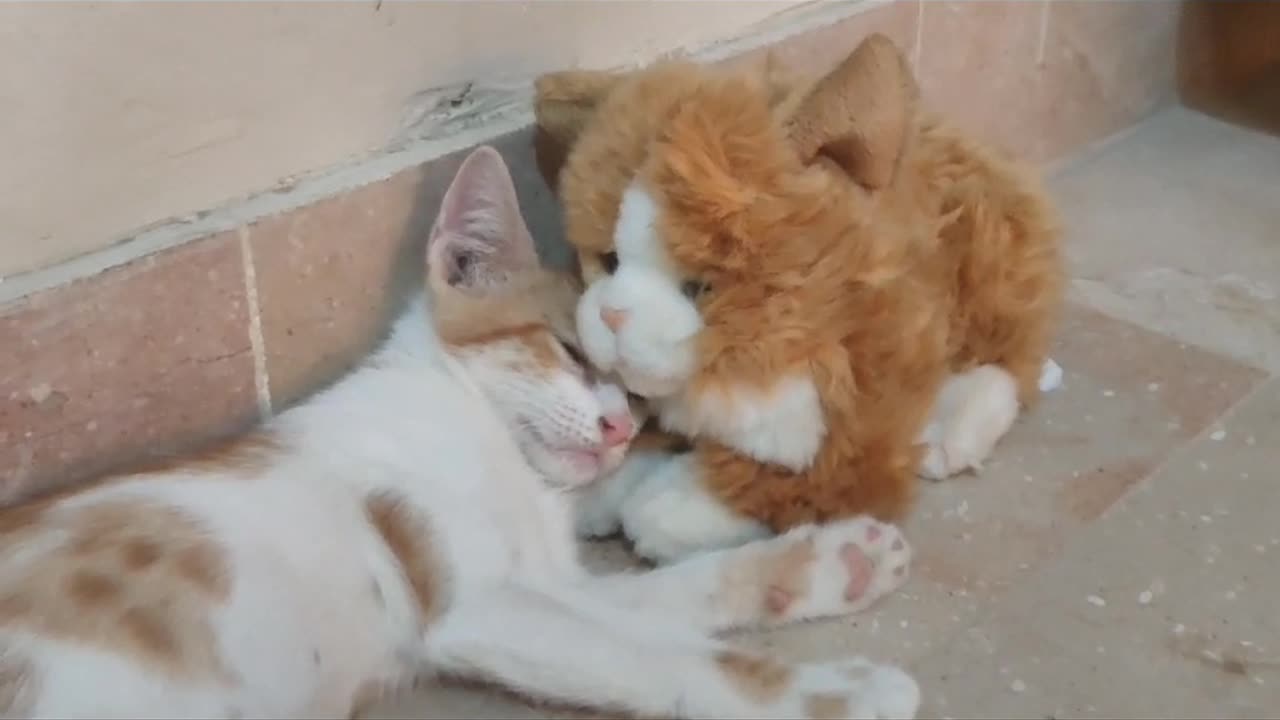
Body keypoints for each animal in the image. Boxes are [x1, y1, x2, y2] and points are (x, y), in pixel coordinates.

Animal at [0, 146, 921, 717]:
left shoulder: (545, 586)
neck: (493, 447)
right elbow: (673, 656)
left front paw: (828, 564)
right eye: (569, 350)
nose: (619, 429)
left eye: (639, 393)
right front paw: (842, 692)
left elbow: (674, 598)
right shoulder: (477, 607)